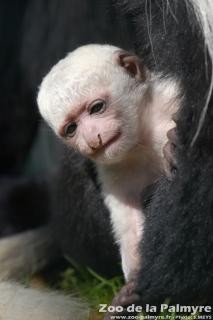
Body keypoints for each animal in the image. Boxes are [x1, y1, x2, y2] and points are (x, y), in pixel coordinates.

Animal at [37, 44, 178, 280]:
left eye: (96, 108)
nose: (93, 140)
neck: (141, 141)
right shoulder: (112, 171)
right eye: (72, 129)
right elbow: (126, 216)